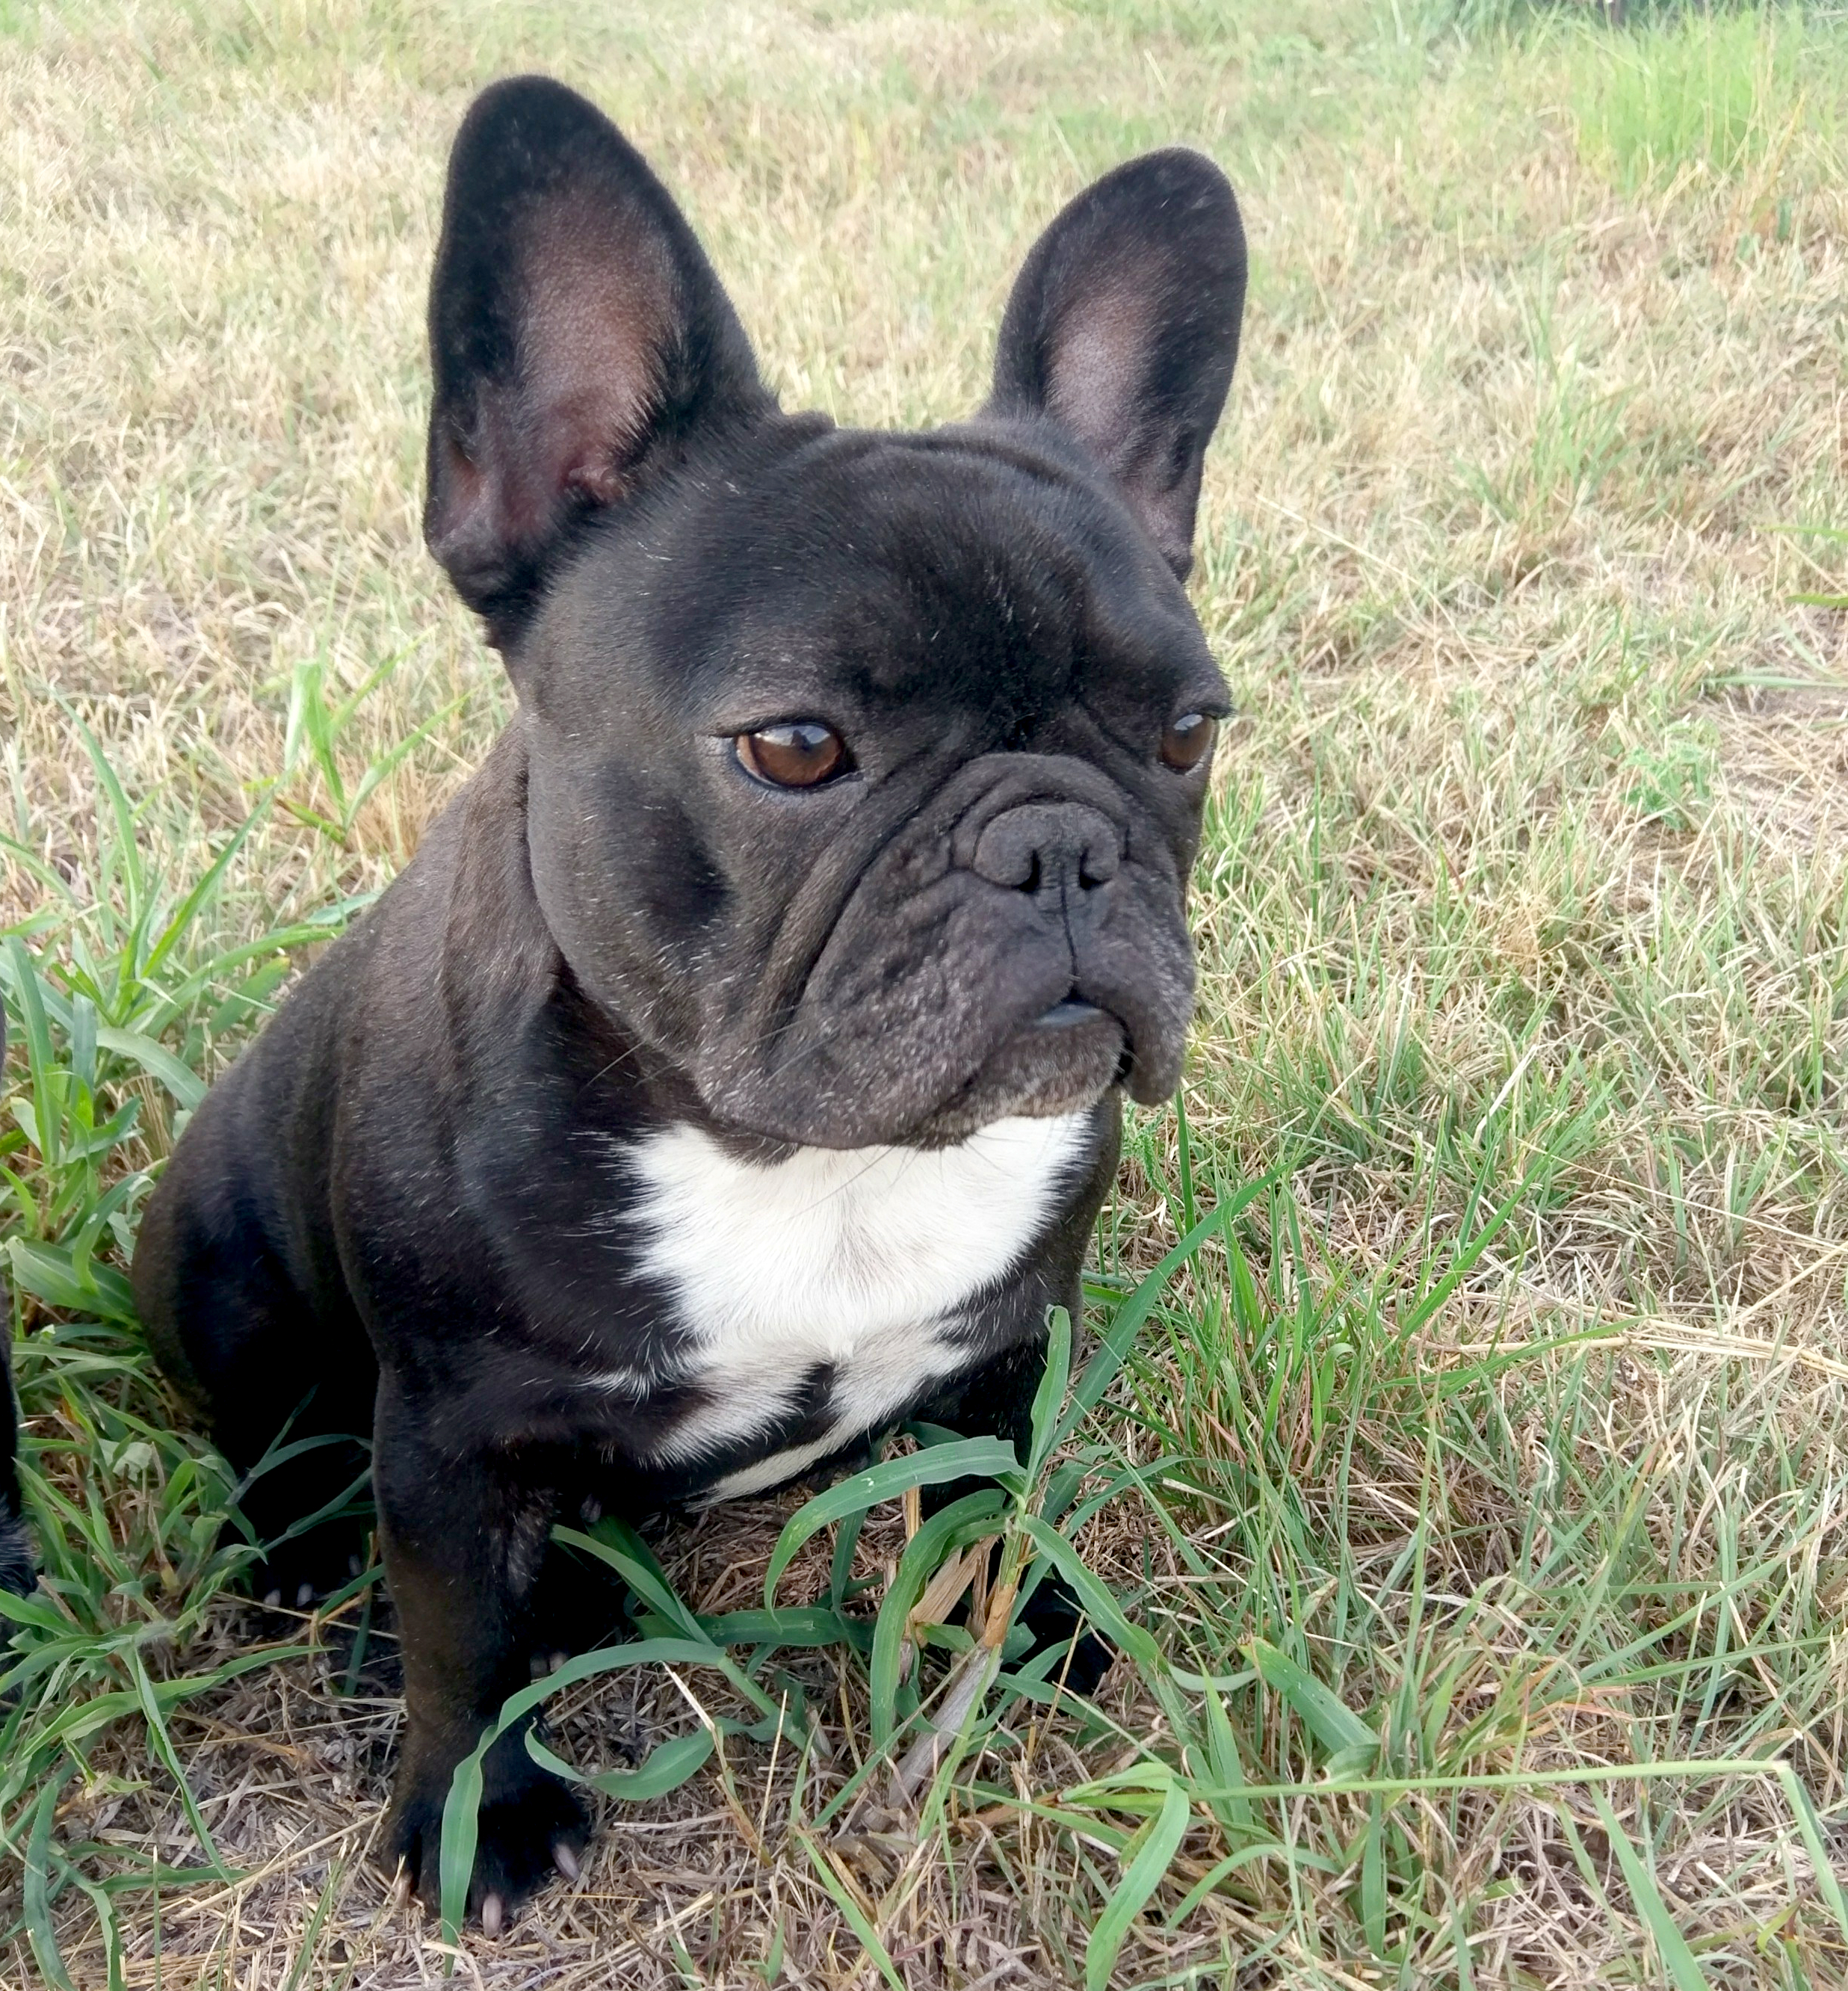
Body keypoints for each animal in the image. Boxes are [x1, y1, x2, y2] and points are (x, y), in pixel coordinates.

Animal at [133, 81, 1242, 1927]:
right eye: (792, 747)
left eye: (1185, 734)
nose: (1059, 845)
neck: (809, 1161)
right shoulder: (452, 1440)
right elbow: (463, 1638)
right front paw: (477, 1817)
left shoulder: (1013, 1341)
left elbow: (996, 1502)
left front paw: (1026, 1631)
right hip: (215, 1255)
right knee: (271, 1442)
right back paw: (305, 1566)